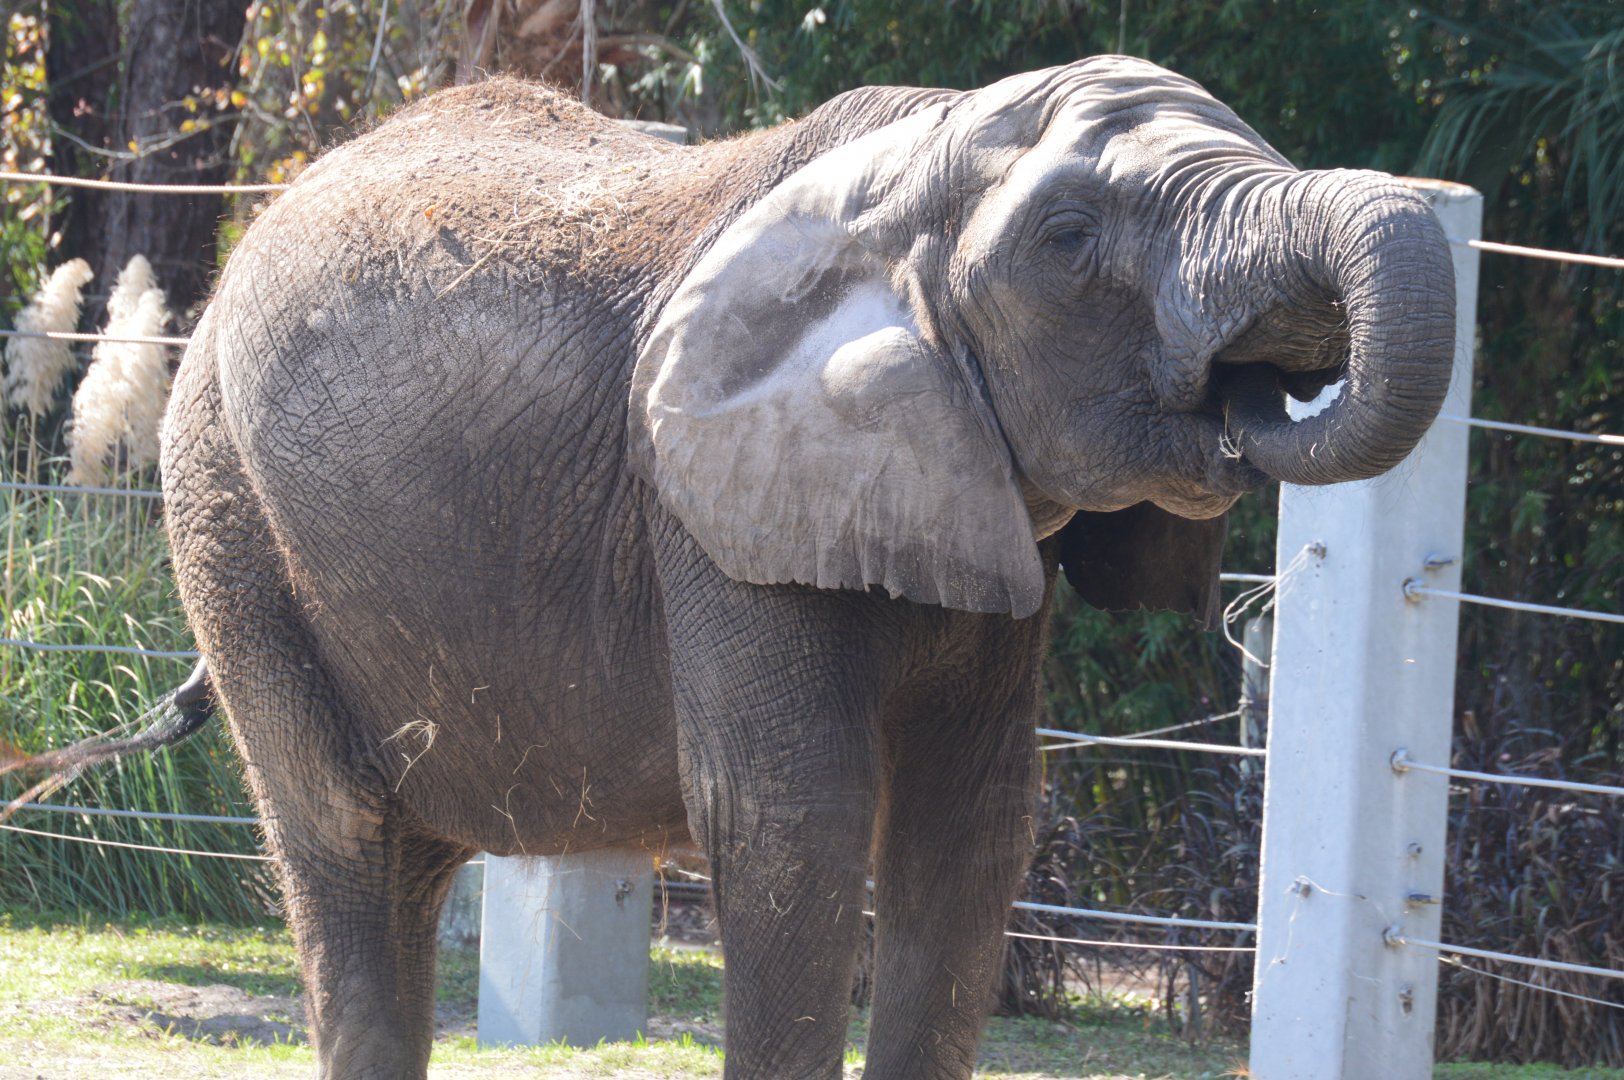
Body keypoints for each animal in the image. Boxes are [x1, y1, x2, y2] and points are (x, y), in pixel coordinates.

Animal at [141, 54, 1452, 1079]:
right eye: (1070, 242)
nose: (1250, 393)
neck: (911, 169)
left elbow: (971, 827)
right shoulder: (703, 506)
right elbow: (793, 821)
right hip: (228, 516)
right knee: (345, 838)